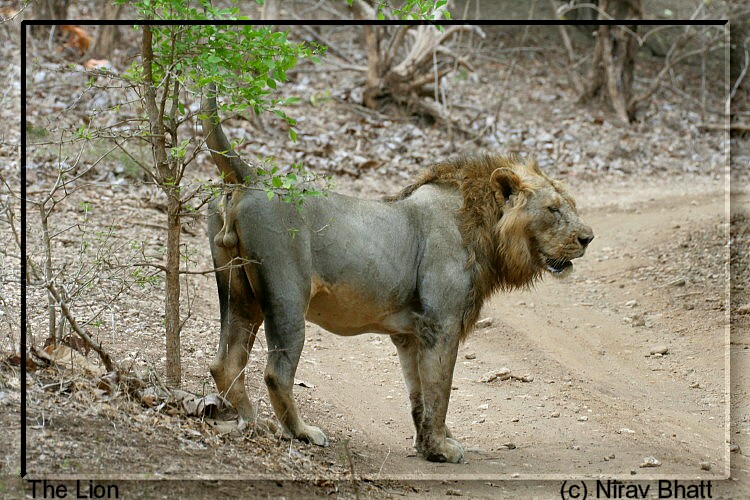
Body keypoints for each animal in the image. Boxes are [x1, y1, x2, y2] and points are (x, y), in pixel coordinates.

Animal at [200, 88, 592, 462]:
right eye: (553, 209)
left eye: (571, 205)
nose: (588, 237)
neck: (485, 226)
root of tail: (252, 177)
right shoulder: (440, 323)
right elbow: (440, 391)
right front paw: (441, 450)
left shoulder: (410, 334)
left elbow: (420, 393)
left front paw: (431, 443)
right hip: (287, 297)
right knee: (276, 372)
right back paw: (301, 432)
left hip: (239, 296)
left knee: (225, 362)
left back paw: (252, 422)